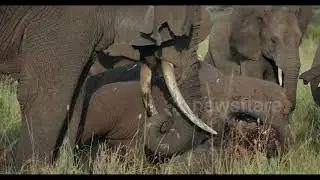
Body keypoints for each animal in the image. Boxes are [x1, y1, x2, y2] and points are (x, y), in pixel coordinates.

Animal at [0, 5, 216, 169]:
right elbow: (44, 96)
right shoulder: (66, 20)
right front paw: (34, 168)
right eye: (185, 31)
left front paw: (61, 167)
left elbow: (75, 96)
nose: (164, 119)